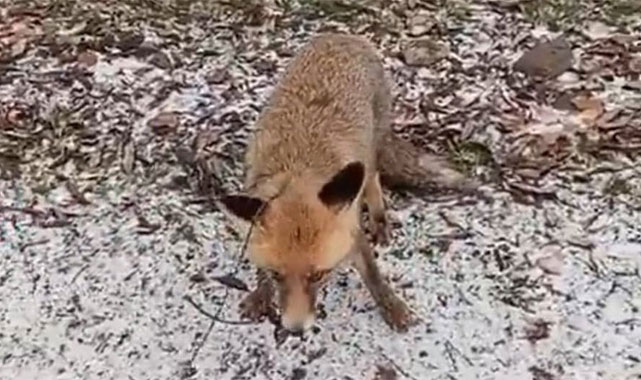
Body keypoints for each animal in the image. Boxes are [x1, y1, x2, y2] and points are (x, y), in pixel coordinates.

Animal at [218, 34, 472, 334]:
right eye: (277, 274)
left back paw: (379, 220)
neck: (297, 171)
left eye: (318, 275)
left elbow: (373, 275)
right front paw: (261, 293)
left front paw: (392, 306)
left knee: (373, 180)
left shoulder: (351, 228)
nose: (295, 329)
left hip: (370, 154)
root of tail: (342, 35)